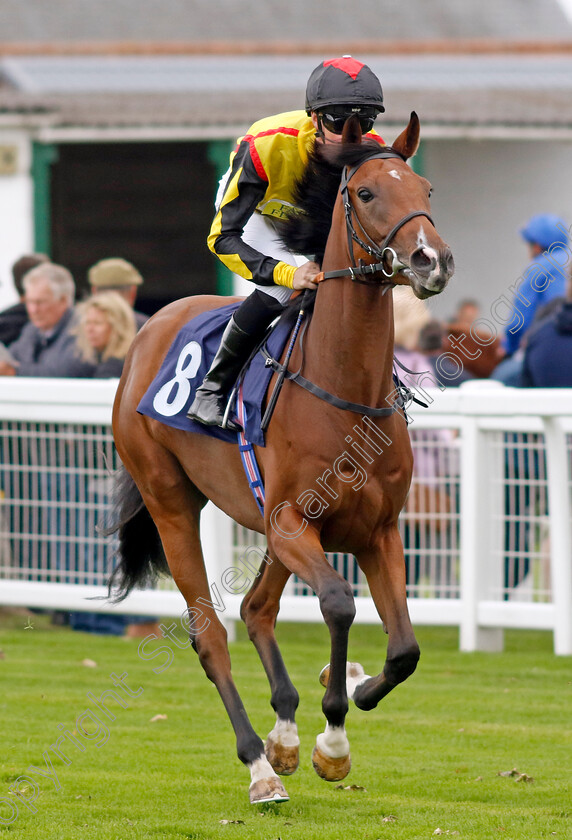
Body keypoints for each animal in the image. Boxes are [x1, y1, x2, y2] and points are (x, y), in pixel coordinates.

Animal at [109, 111, 454, 800]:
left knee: (255, 607)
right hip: (171, 501)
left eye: (425, 189)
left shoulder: (378, 529)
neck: (343, 390)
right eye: (366, 193)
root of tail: (148, 330)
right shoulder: (294, 521)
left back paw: (285, 736)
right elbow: (340, 604)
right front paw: (332, 738)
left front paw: (345, 697)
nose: (431, 260)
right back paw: (260, 765)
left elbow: (405, 649)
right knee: (211, 633)